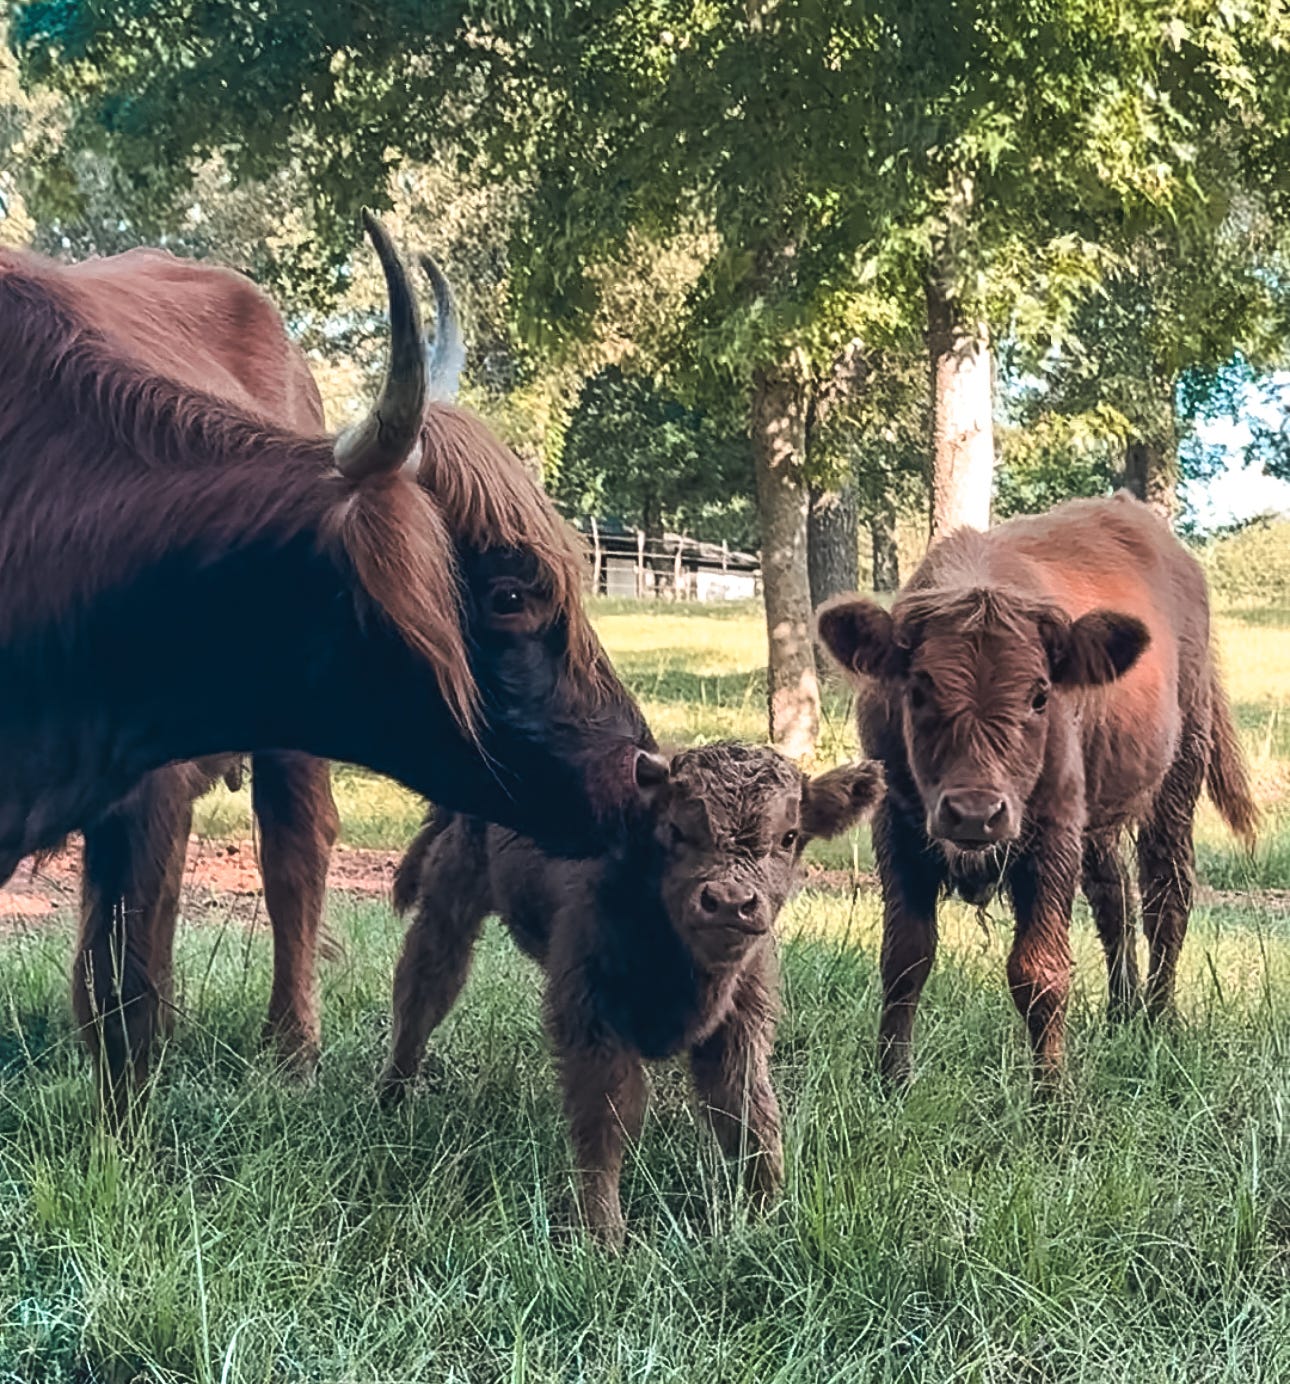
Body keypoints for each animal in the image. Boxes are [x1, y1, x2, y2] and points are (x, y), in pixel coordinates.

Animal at [0, 215, 654, 1113]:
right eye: (511, 594)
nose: (645, 766)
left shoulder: (143, 786)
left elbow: (128, 995)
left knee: (294, 857)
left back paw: (291, 1051)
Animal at [381, 743, 884, 1247]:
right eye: (676, 829)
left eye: (788, 837)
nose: (728, 901)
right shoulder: (590, 1013)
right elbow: (607, 1117)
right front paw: (603, 1236)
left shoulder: (740, 1022)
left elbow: (749, 1112)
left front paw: (767, 1218)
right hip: (450, 896)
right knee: (424, 988)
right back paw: (391, 1100)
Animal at [816, 492, 1258, 1087]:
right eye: (919, 690)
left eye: (1040, 695)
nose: (974, 812)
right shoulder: (899, 827)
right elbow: (904, 957)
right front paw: (891, 1082)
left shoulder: (1052, 832)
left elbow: (1039, 971)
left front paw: (1052, 1096)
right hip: (1097, 811)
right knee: (1113, 896)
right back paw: (1122, 1011)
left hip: (1178, 773)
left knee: (1166, 892)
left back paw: (1158, 1019)